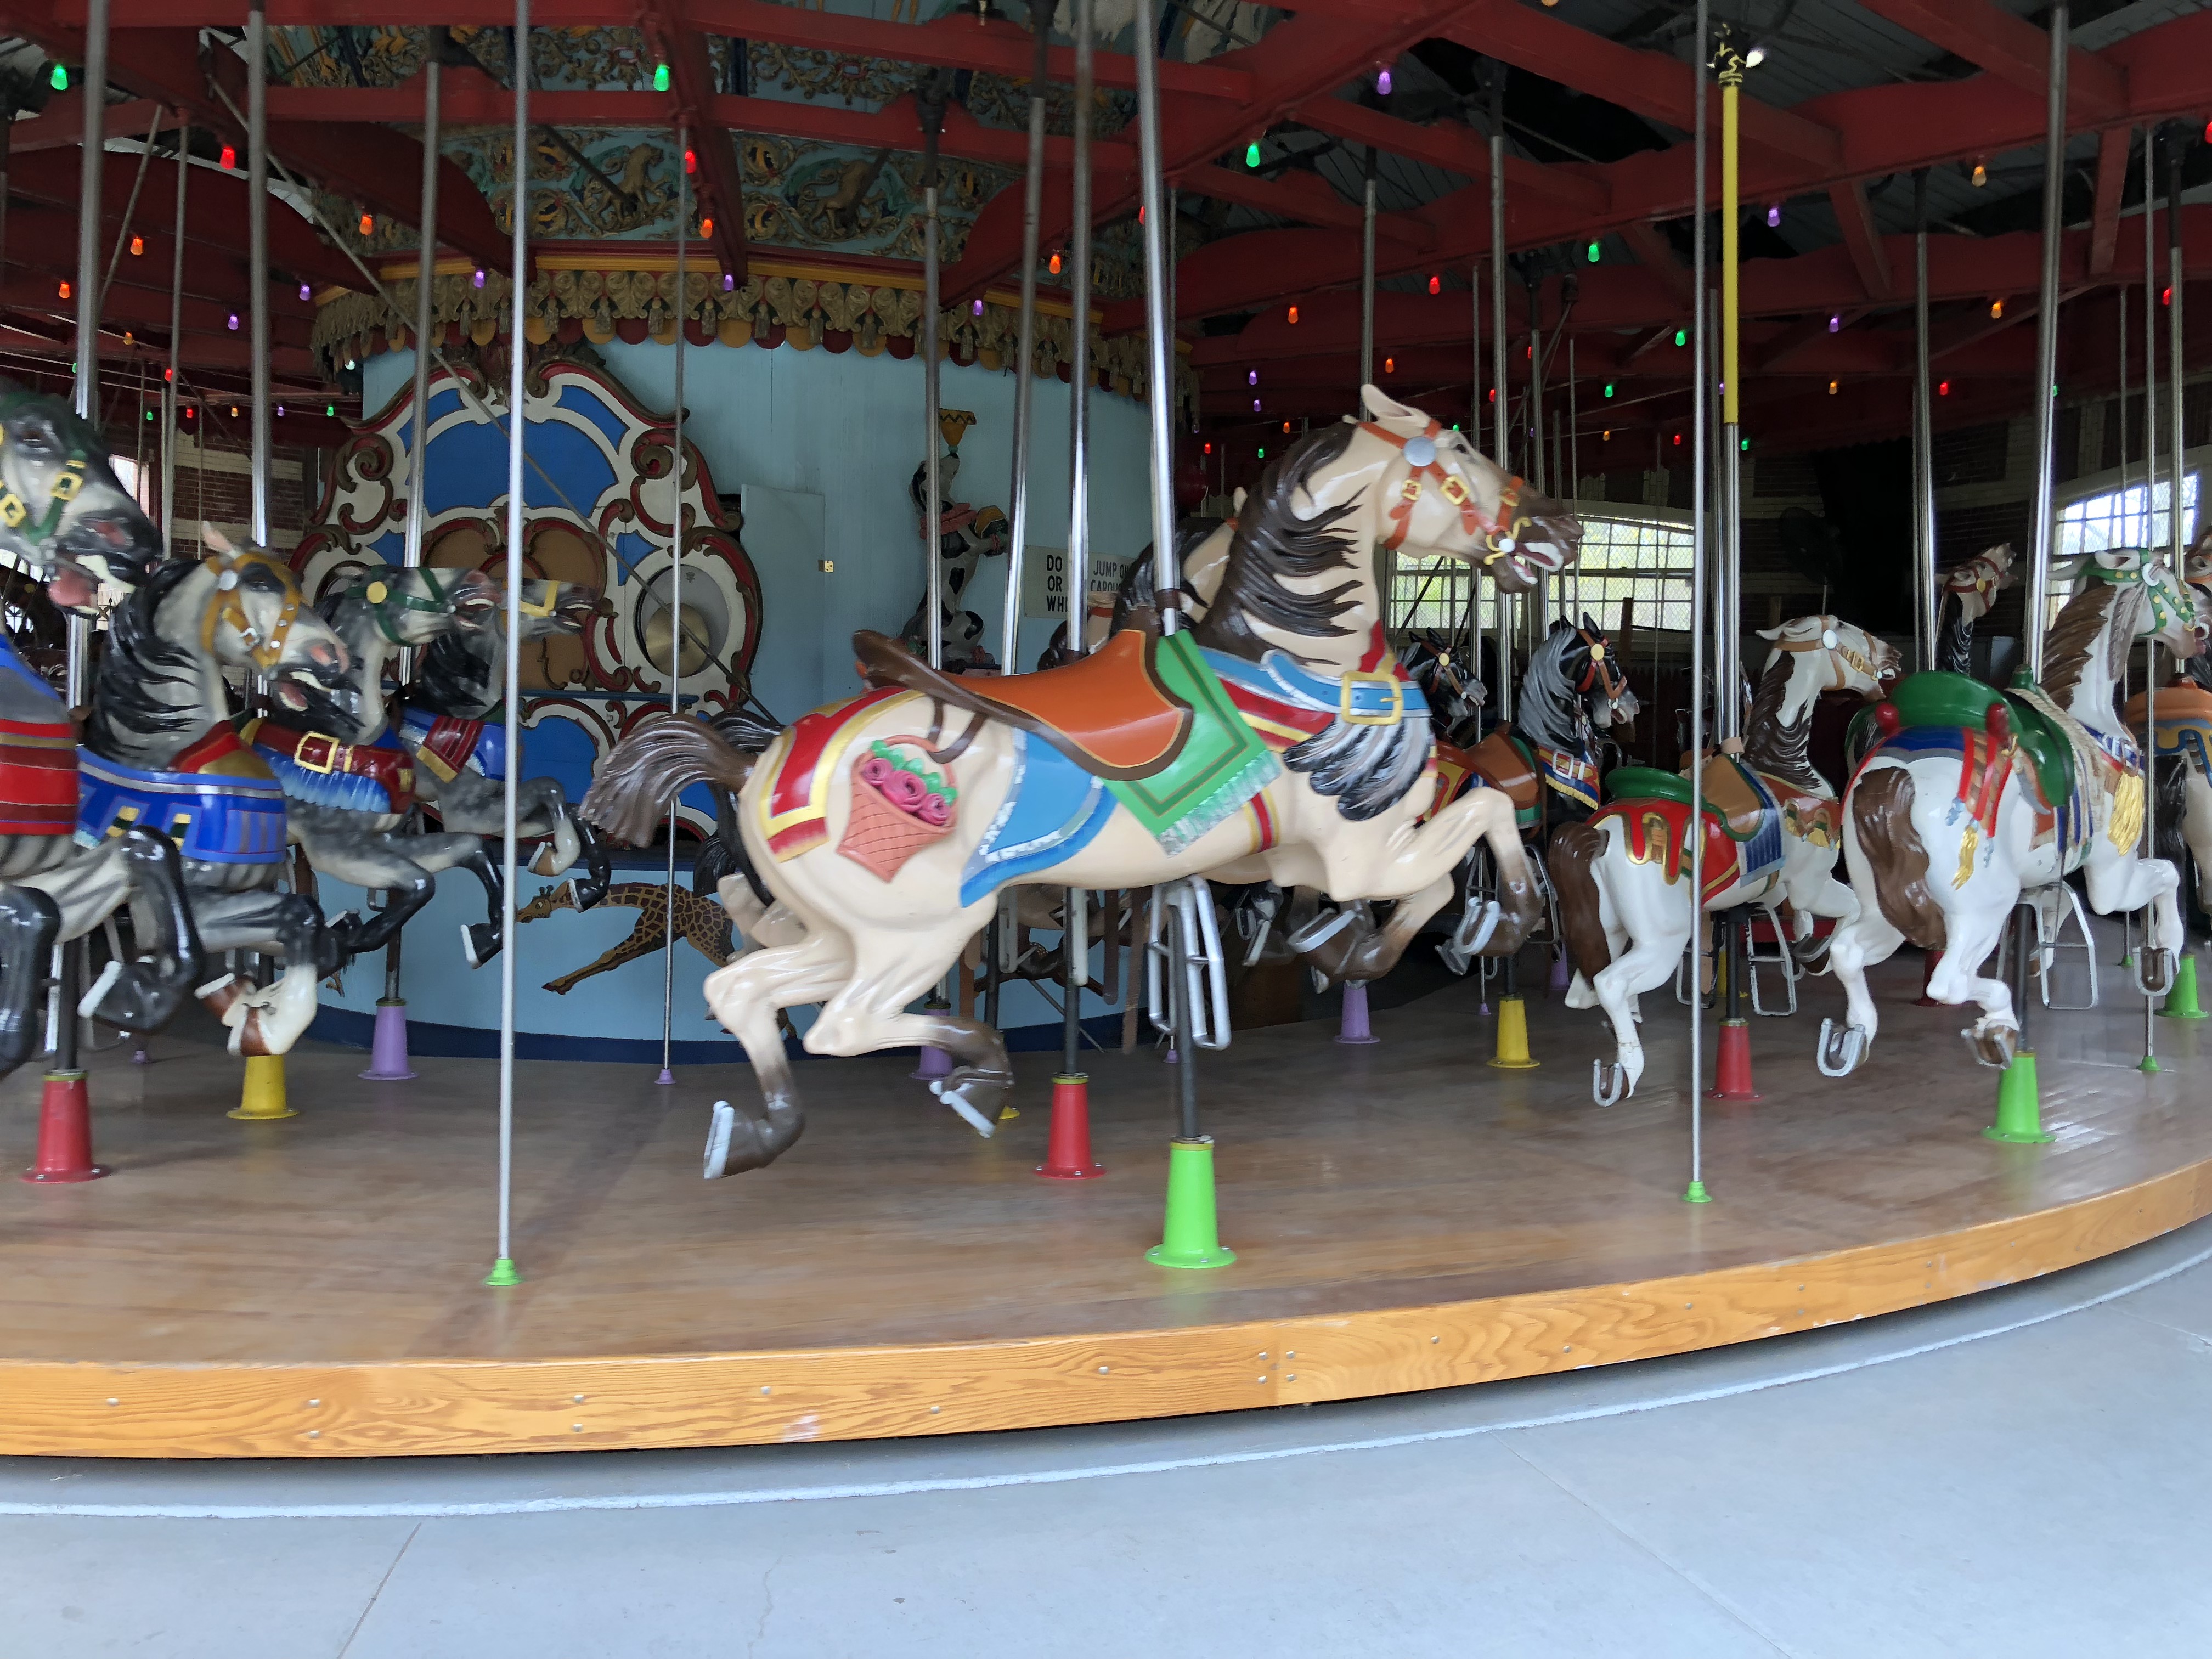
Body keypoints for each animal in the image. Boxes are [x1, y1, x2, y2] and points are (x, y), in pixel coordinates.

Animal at [80, 533, 358, 1057]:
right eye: (261, 581)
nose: (336, 655)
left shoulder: (234, 897)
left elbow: (303, 918)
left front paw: (260, 1014)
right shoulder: (161, 910)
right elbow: (187, 951)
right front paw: (128, 1000)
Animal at [583, 389, 1582, 1176]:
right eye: (1460, 453)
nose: (1560, 528)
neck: (1296, 656)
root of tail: (757, 764)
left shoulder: (1297, 857)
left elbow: (1419, 865)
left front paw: (1360, 948)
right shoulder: (1355, 850)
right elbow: (1475, 829)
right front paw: (1497, 924)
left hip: (852, 926)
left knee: (746, 992)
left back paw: (754, 1134)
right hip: (923, 928)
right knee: (842, 1023)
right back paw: (976, 1074)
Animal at [1549, 616, 1900, 1100]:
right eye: (1846, 629)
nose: (1893, 655)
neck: (1785, 767)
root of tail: (1600, 834)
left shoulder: (1773, 890)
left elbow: (1799, 915)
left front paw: (1806, 944)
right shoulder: (1811, 882)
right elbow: (1847, 911)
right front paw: (1827, 974)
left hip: (1608, 925)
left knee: (1583, 991)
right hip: (1664, 938)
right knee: (1611, 983)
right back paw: (1627, 1070)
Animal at [1818, 550, 2205, 1076]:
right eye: (2168, 580)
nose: (2199, 626)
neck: (2089, 721)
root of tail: (1895, 776)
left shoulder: (2049, 872)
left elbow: (2057, 905)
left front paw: (2041, 962)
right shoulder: (2112, 869)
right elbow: (2164, 875)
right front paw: (2163, 955)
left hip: (1884, 896)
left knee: (1847, 953)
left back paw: (1853, 1035)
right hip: (1982, 902)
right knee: (1947, 982)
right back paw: (1998, 1028)